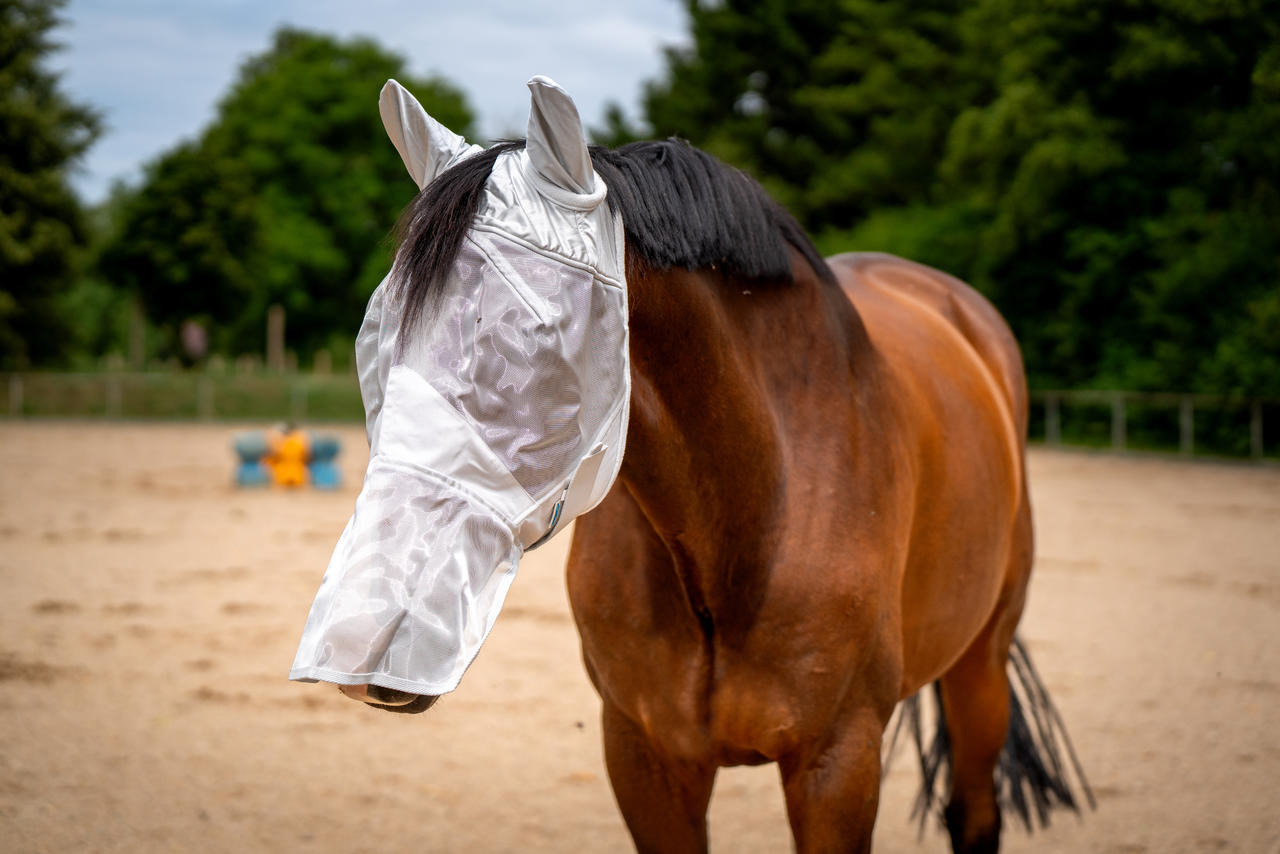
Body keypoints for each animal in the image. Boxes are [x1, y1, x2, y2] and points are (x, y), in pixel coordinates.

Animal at [293, 75, 1090, 854]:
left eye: (538, 336)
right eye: (375, 329)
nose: (360, 639)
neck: (750, 514)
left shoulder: (839, 761)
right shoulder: (645, 755)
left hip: (981, 662)